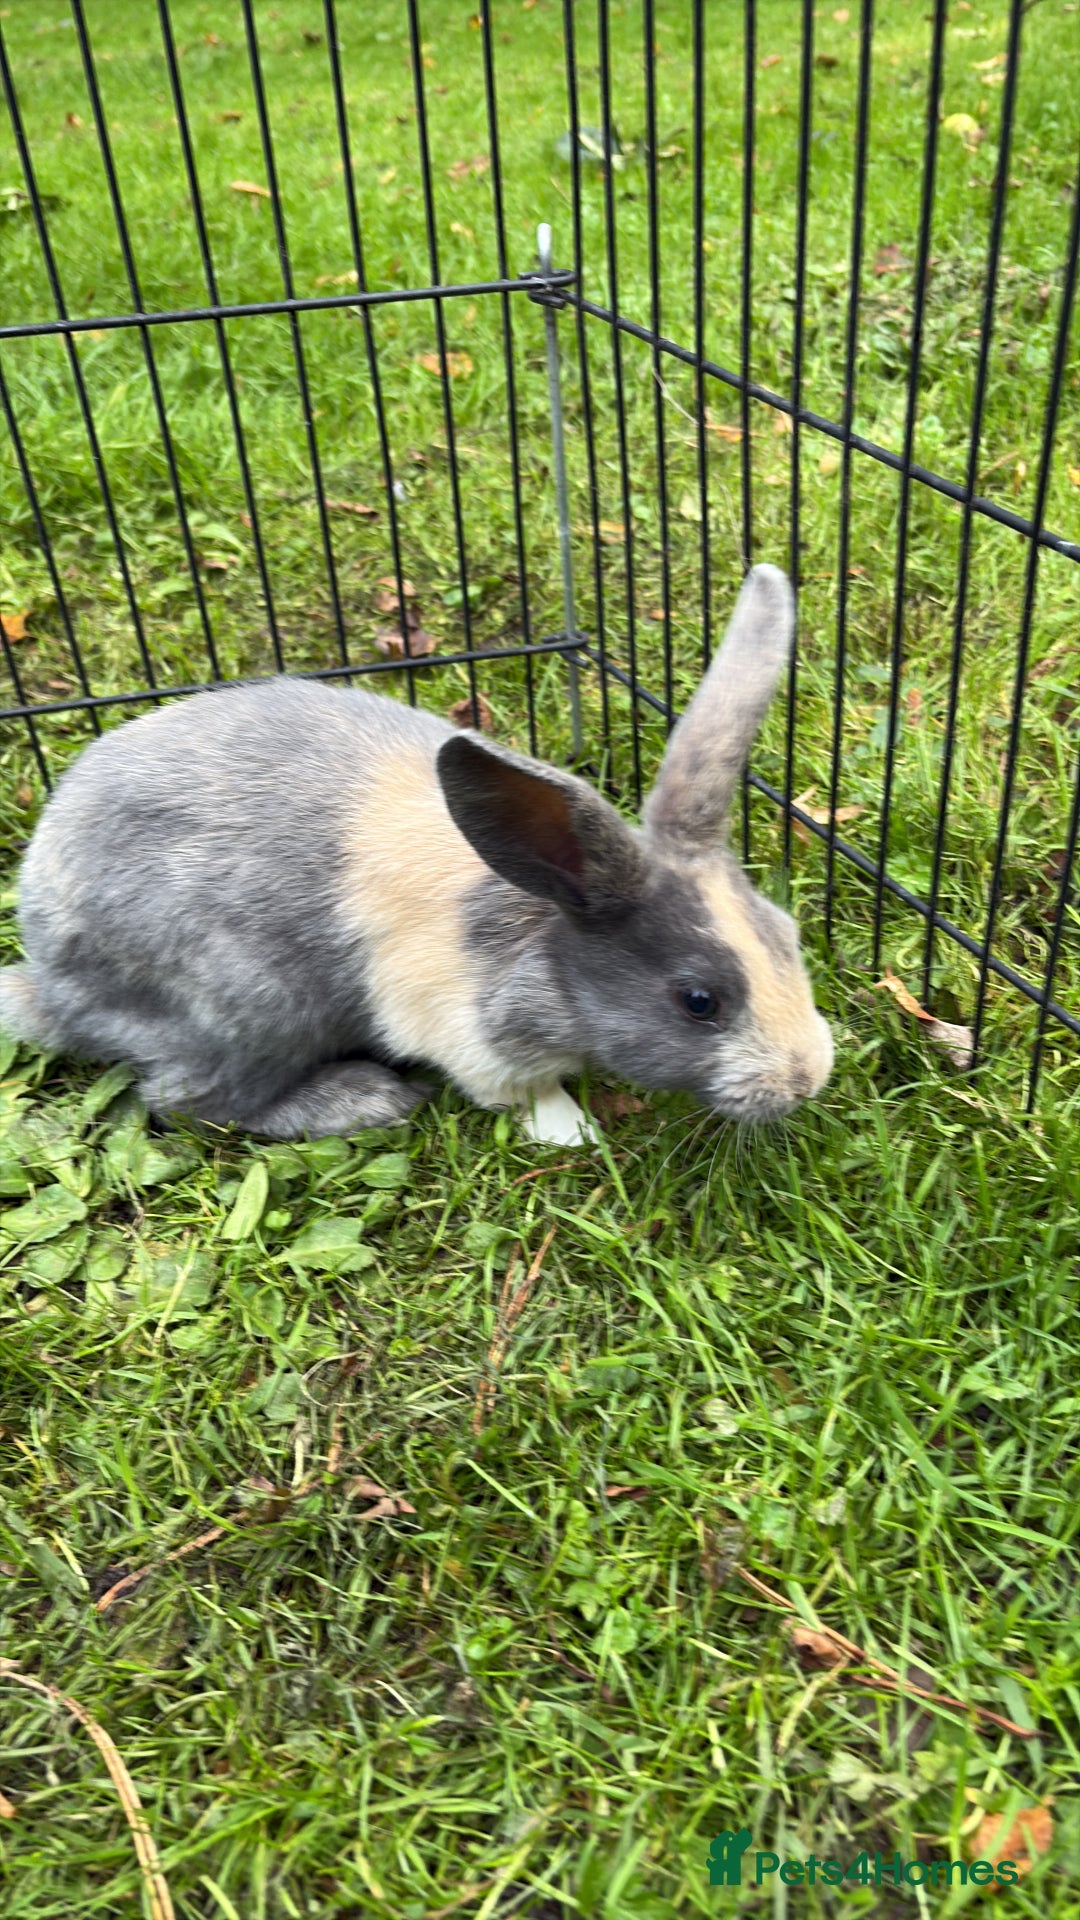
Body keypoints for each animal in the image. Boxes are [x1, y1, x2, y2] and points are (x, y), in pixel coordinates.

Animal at [0, 563, 832, 1146]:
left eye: (789, 938)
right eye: (699, 1001)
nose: (807, 1080)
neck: (544, 924)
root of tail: (50, 983)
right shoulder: (468, 1035)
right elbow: (521, 1091)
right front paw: (572, 1130)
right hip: (249, 1007)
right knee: (188, 1104)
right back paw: (365, 1099)